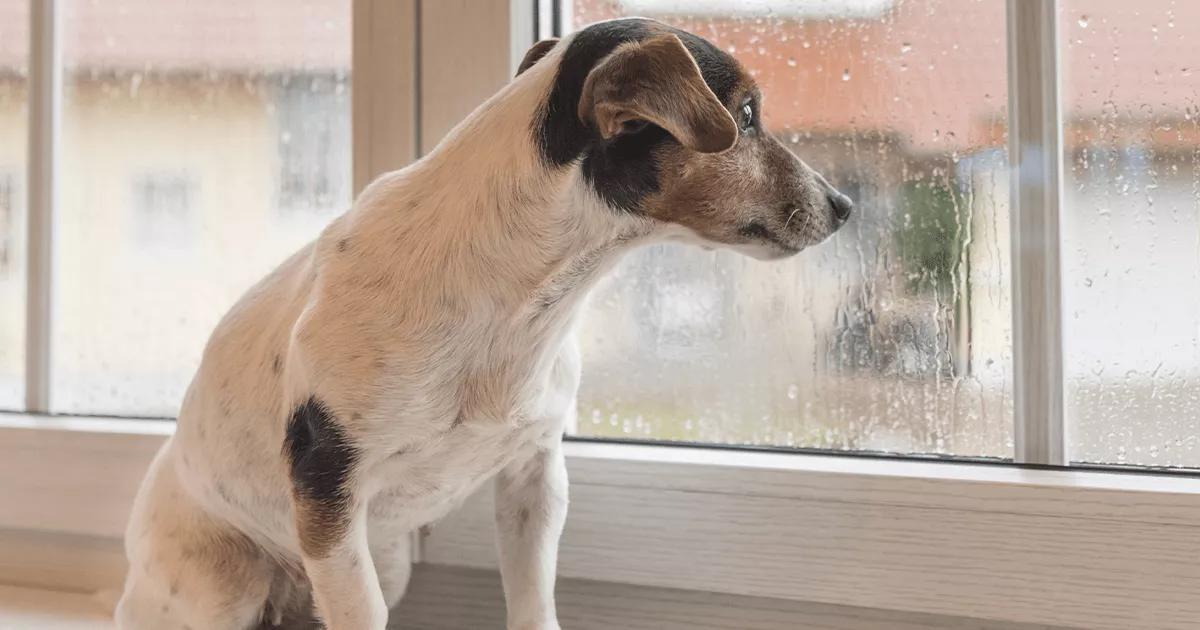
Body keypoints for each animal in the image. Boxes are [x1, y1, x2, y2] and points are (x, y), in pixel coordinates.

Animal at [117, 17, 854, 624]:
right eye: (748, 115)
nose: (845, 205)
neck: (518, 297)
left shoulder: (534, 478)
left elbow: (533, 600)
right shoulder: (330, 497)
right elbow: (362, 612)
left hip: (388, 560)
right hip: (226, 583)